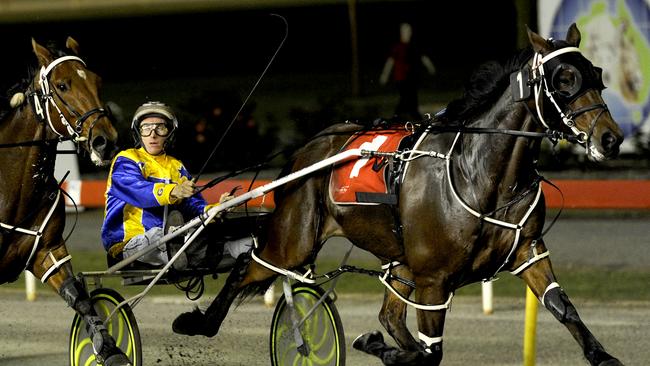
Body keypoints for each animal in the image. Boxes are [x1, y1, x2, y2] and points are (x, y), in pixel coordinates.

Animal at [0, 37, 130, 366]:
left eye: (97, 80)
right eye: (62, 85)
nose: (105, 140)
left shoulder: (48, 250)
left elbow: (80, 298)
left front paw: (109, 350)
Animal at [172, 24, 624, 364]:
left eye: (598, 74)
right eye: (563, 80)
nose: (611, 138)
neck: (480, 174)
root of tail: (307, 148)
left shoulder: (527, 250)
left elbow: (561, 306)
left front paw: (603, 355)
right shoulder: (434, 279)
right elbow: (429, 351)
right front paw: (373, 344)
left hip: (400, 260)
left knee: (390, 315)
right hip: (294, 241)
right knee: (248, 264)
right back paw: (197, 322)